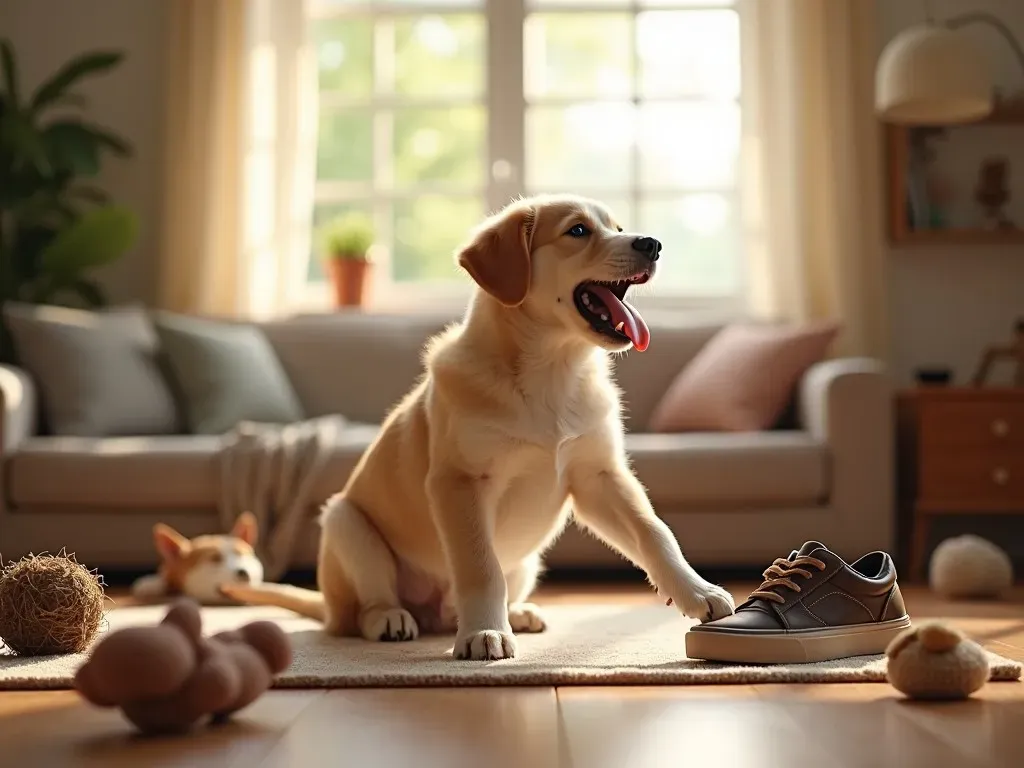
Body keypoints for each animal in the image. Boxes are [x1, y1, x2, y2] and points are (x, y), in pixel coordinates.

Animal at [224, 193, 737, 663]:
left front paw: (698, 592)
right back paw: (393, 619)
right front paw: (484, 635)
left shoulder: (598, 476)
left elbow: (655, 533)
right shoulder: (461, 482)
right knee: (359, 612)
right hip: (345, 523)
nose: (652, 245)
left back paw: (517, 613)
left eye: (618, 227)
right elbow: (480, 567)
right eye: (577, 231)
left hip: (529, 560)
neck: (552, 372)